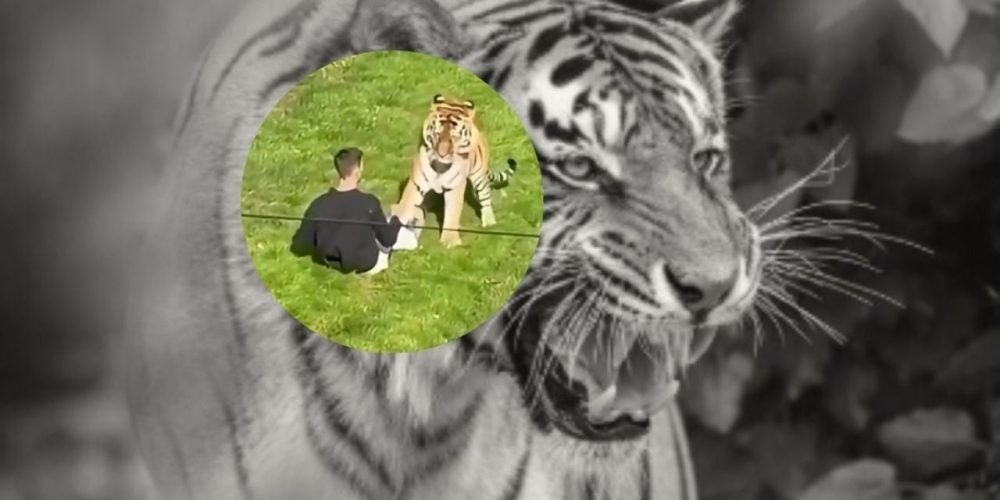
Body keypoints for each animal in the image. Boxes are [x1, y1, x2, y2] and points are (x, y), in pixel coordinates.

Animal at [395, 94, 518, 248]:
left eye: (454, 138)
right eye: (437, 134)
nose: (442, 154)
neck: (440, 166)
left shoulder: (455, 188)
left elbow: (452, 213)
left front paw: (450, 242)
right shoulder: (417, 184)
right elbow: (407, 204)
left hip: (479, 175)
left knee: (485, 198)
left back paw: (490, 223)